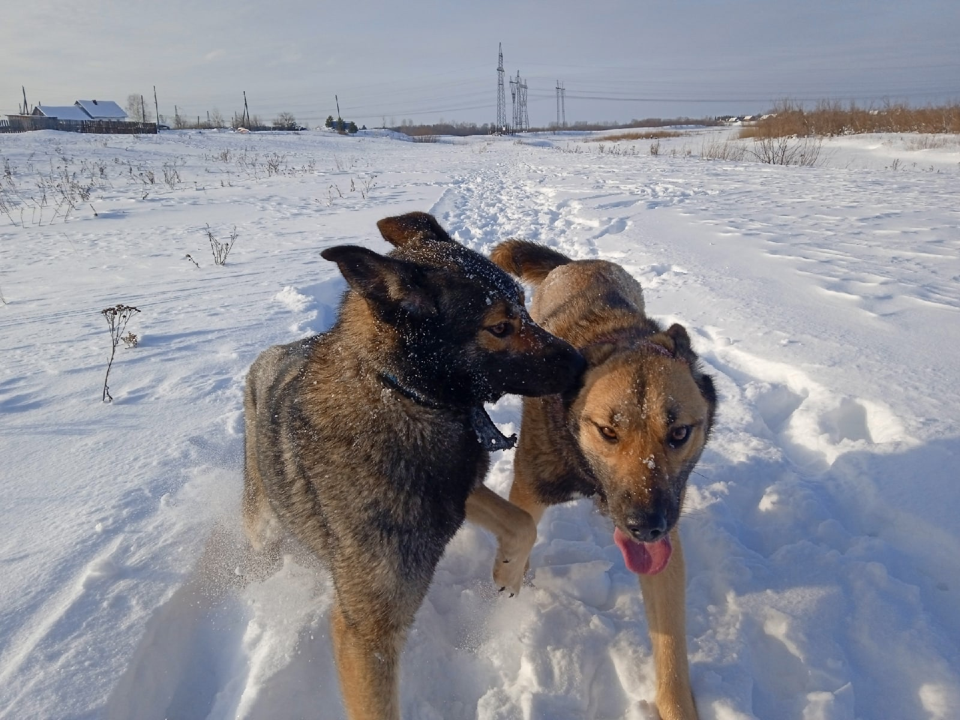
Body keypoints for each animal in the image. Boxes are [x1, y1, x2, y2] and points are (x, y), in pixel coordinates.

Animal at [244, 214, 580, 720]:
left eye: (525, 306)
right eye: (500, 326)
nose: (581, 362)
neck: (400, 395)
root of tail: (267, 355)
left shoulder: (460, 491)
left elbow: (522, 522)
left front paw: (507, 574)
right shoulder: (368, 632)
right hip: (260, 517)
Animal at [484, 242, 716, 720]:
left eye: (679, 433)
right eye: (608, 431)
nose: (645, 525)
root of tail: (578, 263)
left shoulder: (667, 532)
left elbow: (671, 643)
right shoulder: (532, 485)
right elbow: (519, 535)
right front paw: (508, 586)